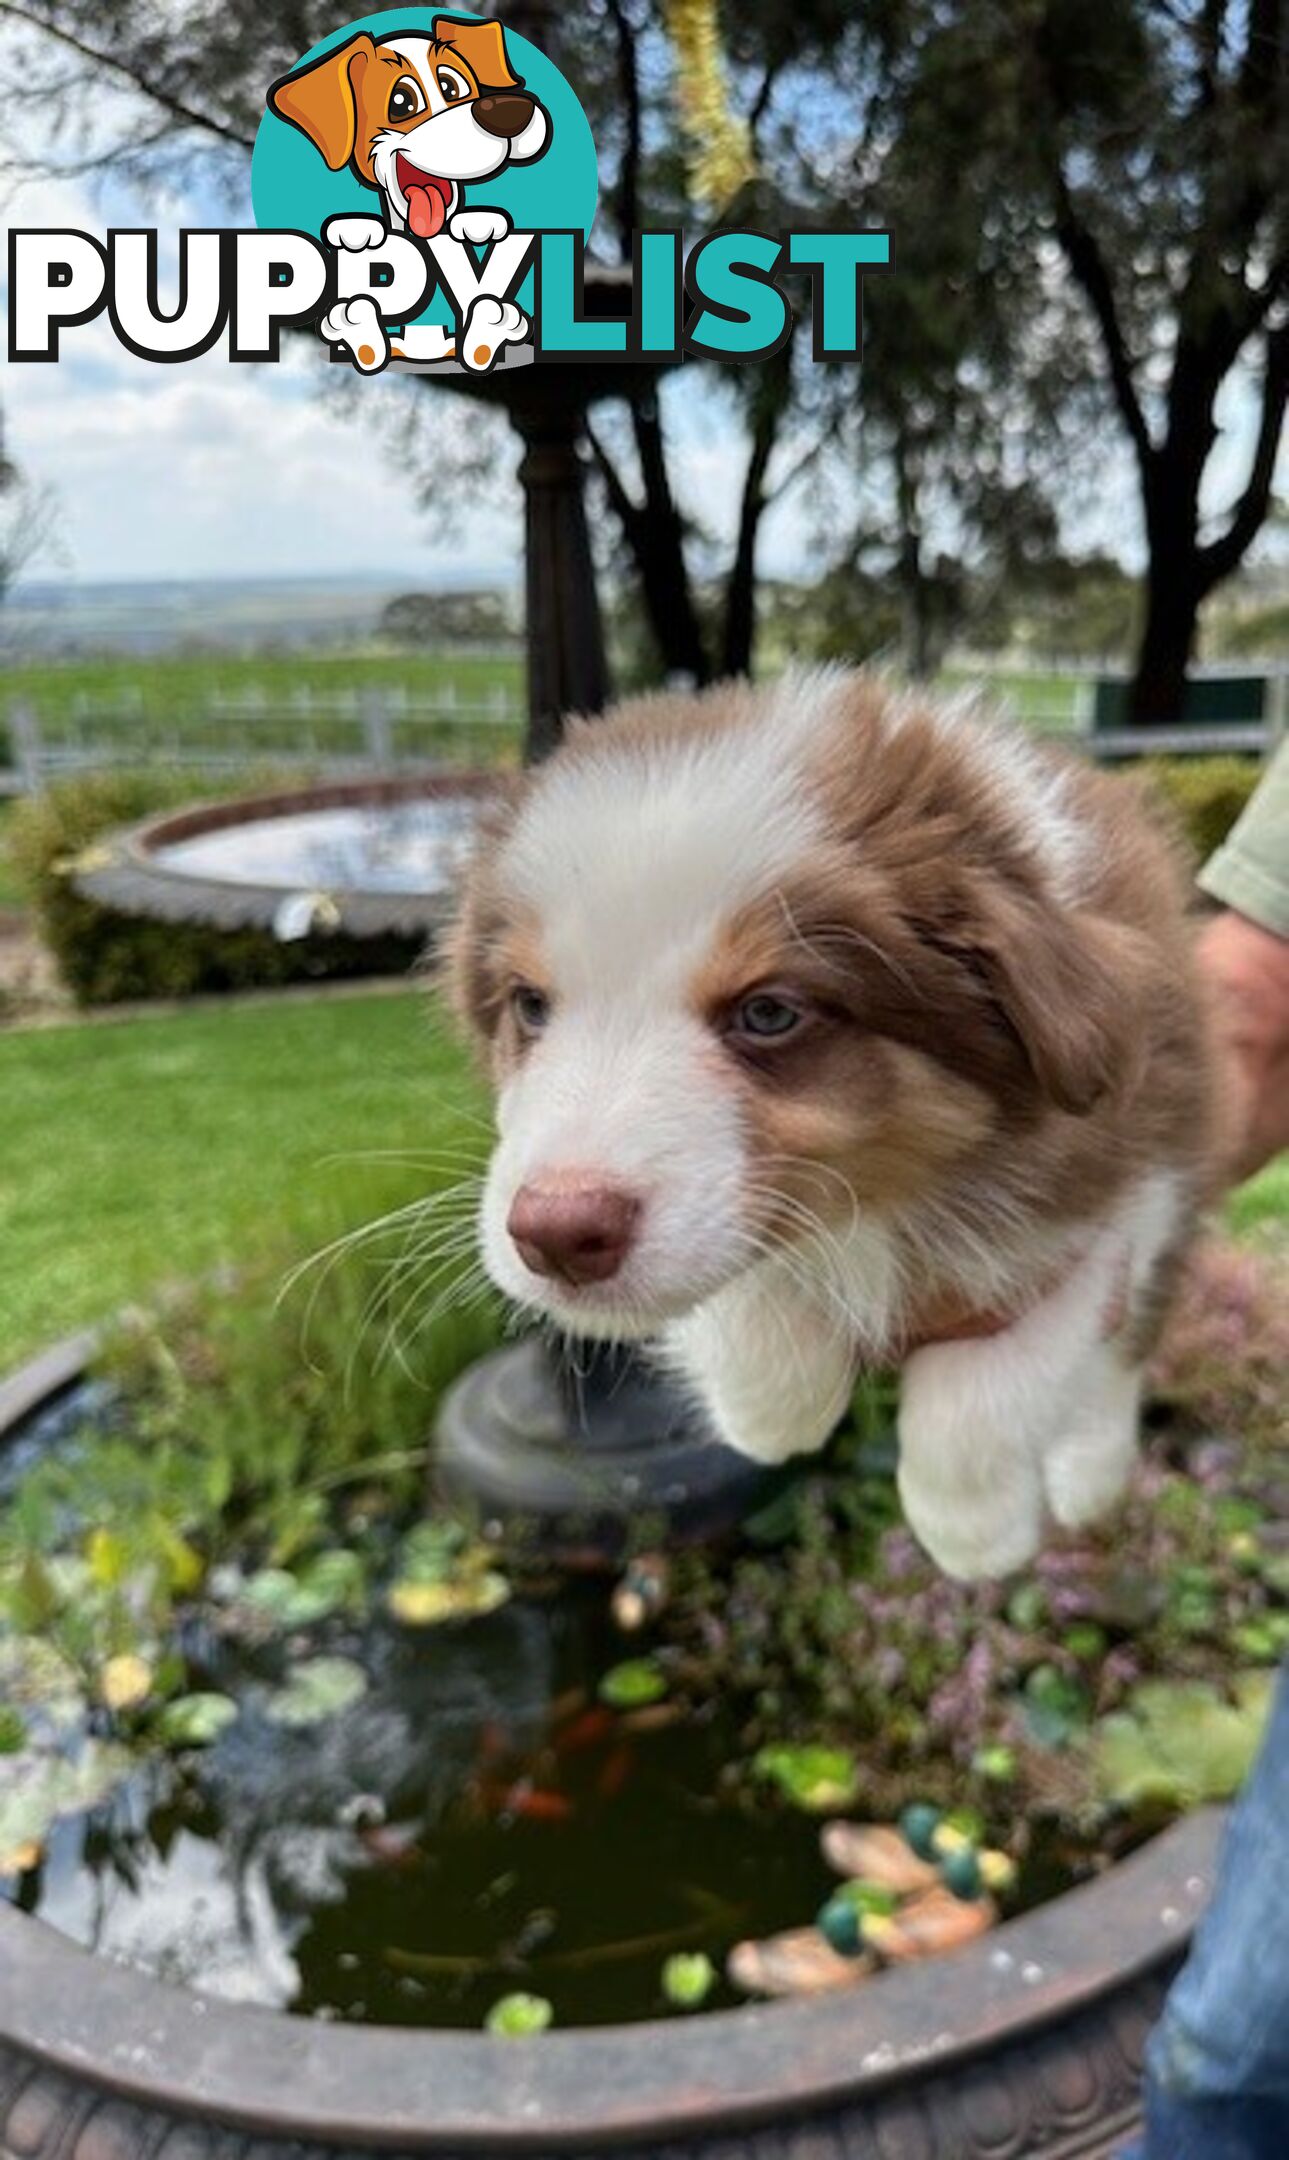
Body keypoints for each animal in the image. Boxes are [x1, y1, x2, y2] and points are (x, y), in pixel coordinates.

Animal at [444, 673, 1217, 1589]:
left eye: (769, 1013)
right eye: (531, 1005)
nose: (555, 1236)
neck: (889, 1199)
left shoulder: (1128, 1184)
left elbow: (1000, 1373)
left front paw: (973, 1534)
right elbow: (753, 1294)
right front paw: (774, 1412)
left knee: (1120, 1357)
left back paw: (1089, 1478)